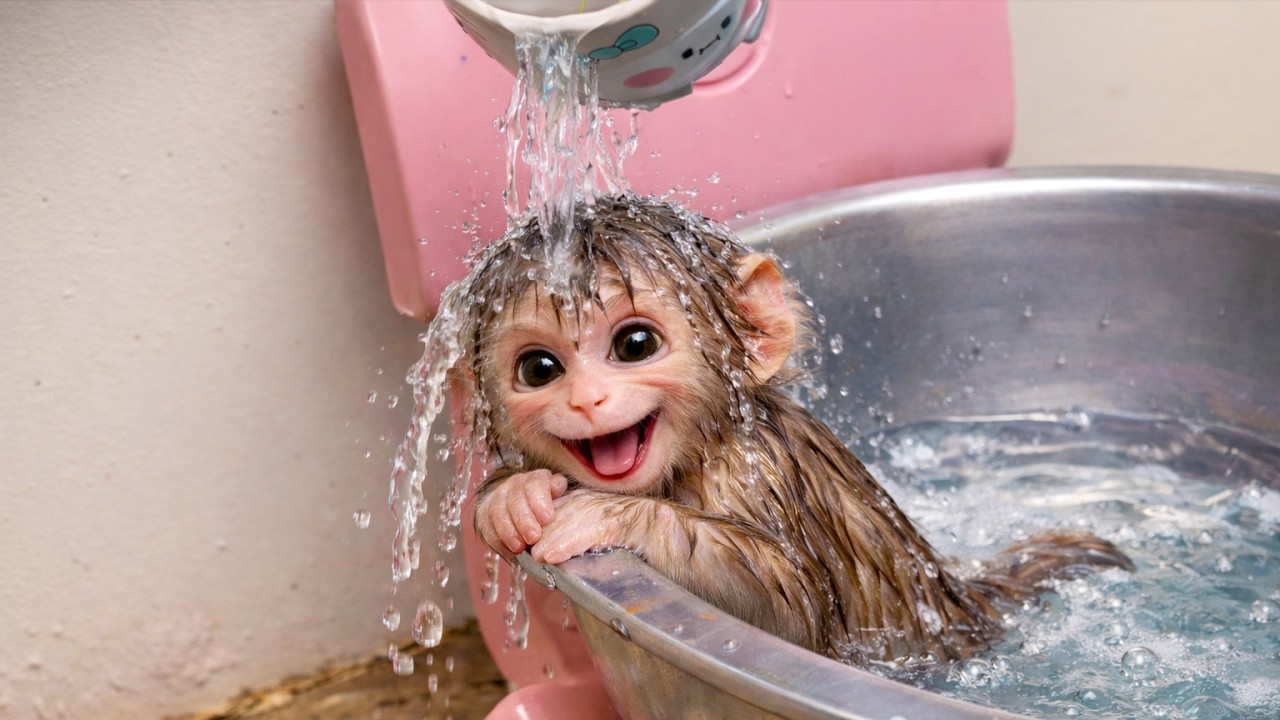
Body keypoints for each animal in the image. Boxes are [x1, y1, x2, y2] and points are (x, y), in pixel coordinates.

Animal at [454, 194, 1134, 667]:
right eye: (539, 368)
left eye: (635, 343)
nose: (586, 399)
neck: (705, 450)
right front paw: (512, 497)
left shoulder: (757, 477)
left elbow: (791, 608)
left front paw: (606, 514)